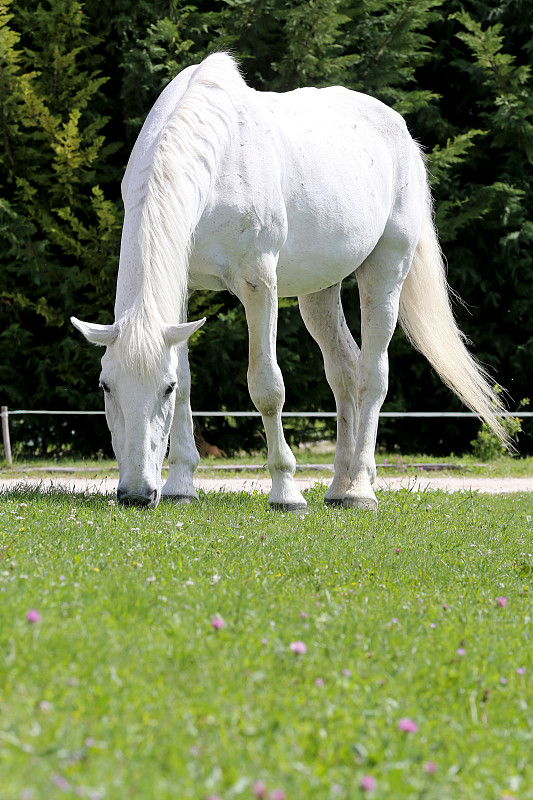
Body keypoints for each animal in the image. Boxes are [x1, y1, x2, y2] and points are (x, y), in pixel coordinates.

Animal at [71, 51, 508, 512]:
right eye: (105, 386)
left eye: (164, 389)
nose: (137, 495)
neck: (219, 157)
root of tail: (400, 131)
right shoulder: (182, 293)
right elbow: (192, 381)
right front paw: (181, 486)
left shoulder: (259, 283)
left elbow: (267, 386)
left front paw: (286, 491)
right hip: (319, 291)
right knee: (345, 371)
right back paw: (340, 487)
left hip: (386, 271)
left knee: (373, 375)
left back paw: (361, 488)